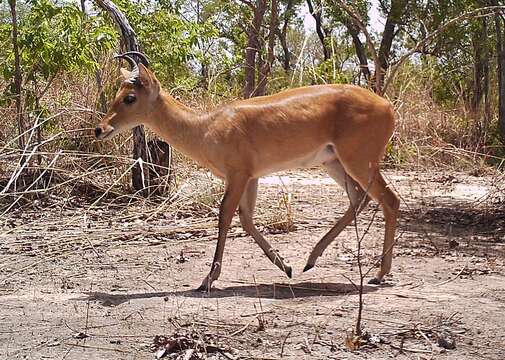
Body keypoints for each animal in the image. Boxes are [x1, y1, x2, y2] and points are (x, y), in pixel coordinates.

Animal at [94, 51, 400, 292]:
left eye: (130, 97)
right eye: (118, 93)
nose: (100, 129)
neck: (205, 127)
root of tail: (388, 106)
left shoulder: (238, 175)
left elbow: (225, 216)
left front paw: (207, 280)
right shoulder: (251, 178)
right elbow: (247, 220)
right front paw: (286, 267)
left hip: (358, 161)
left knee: (389, 199)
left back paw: (378, 274)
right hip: (334, 163)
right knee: (360, 197)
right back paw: (310, 260)